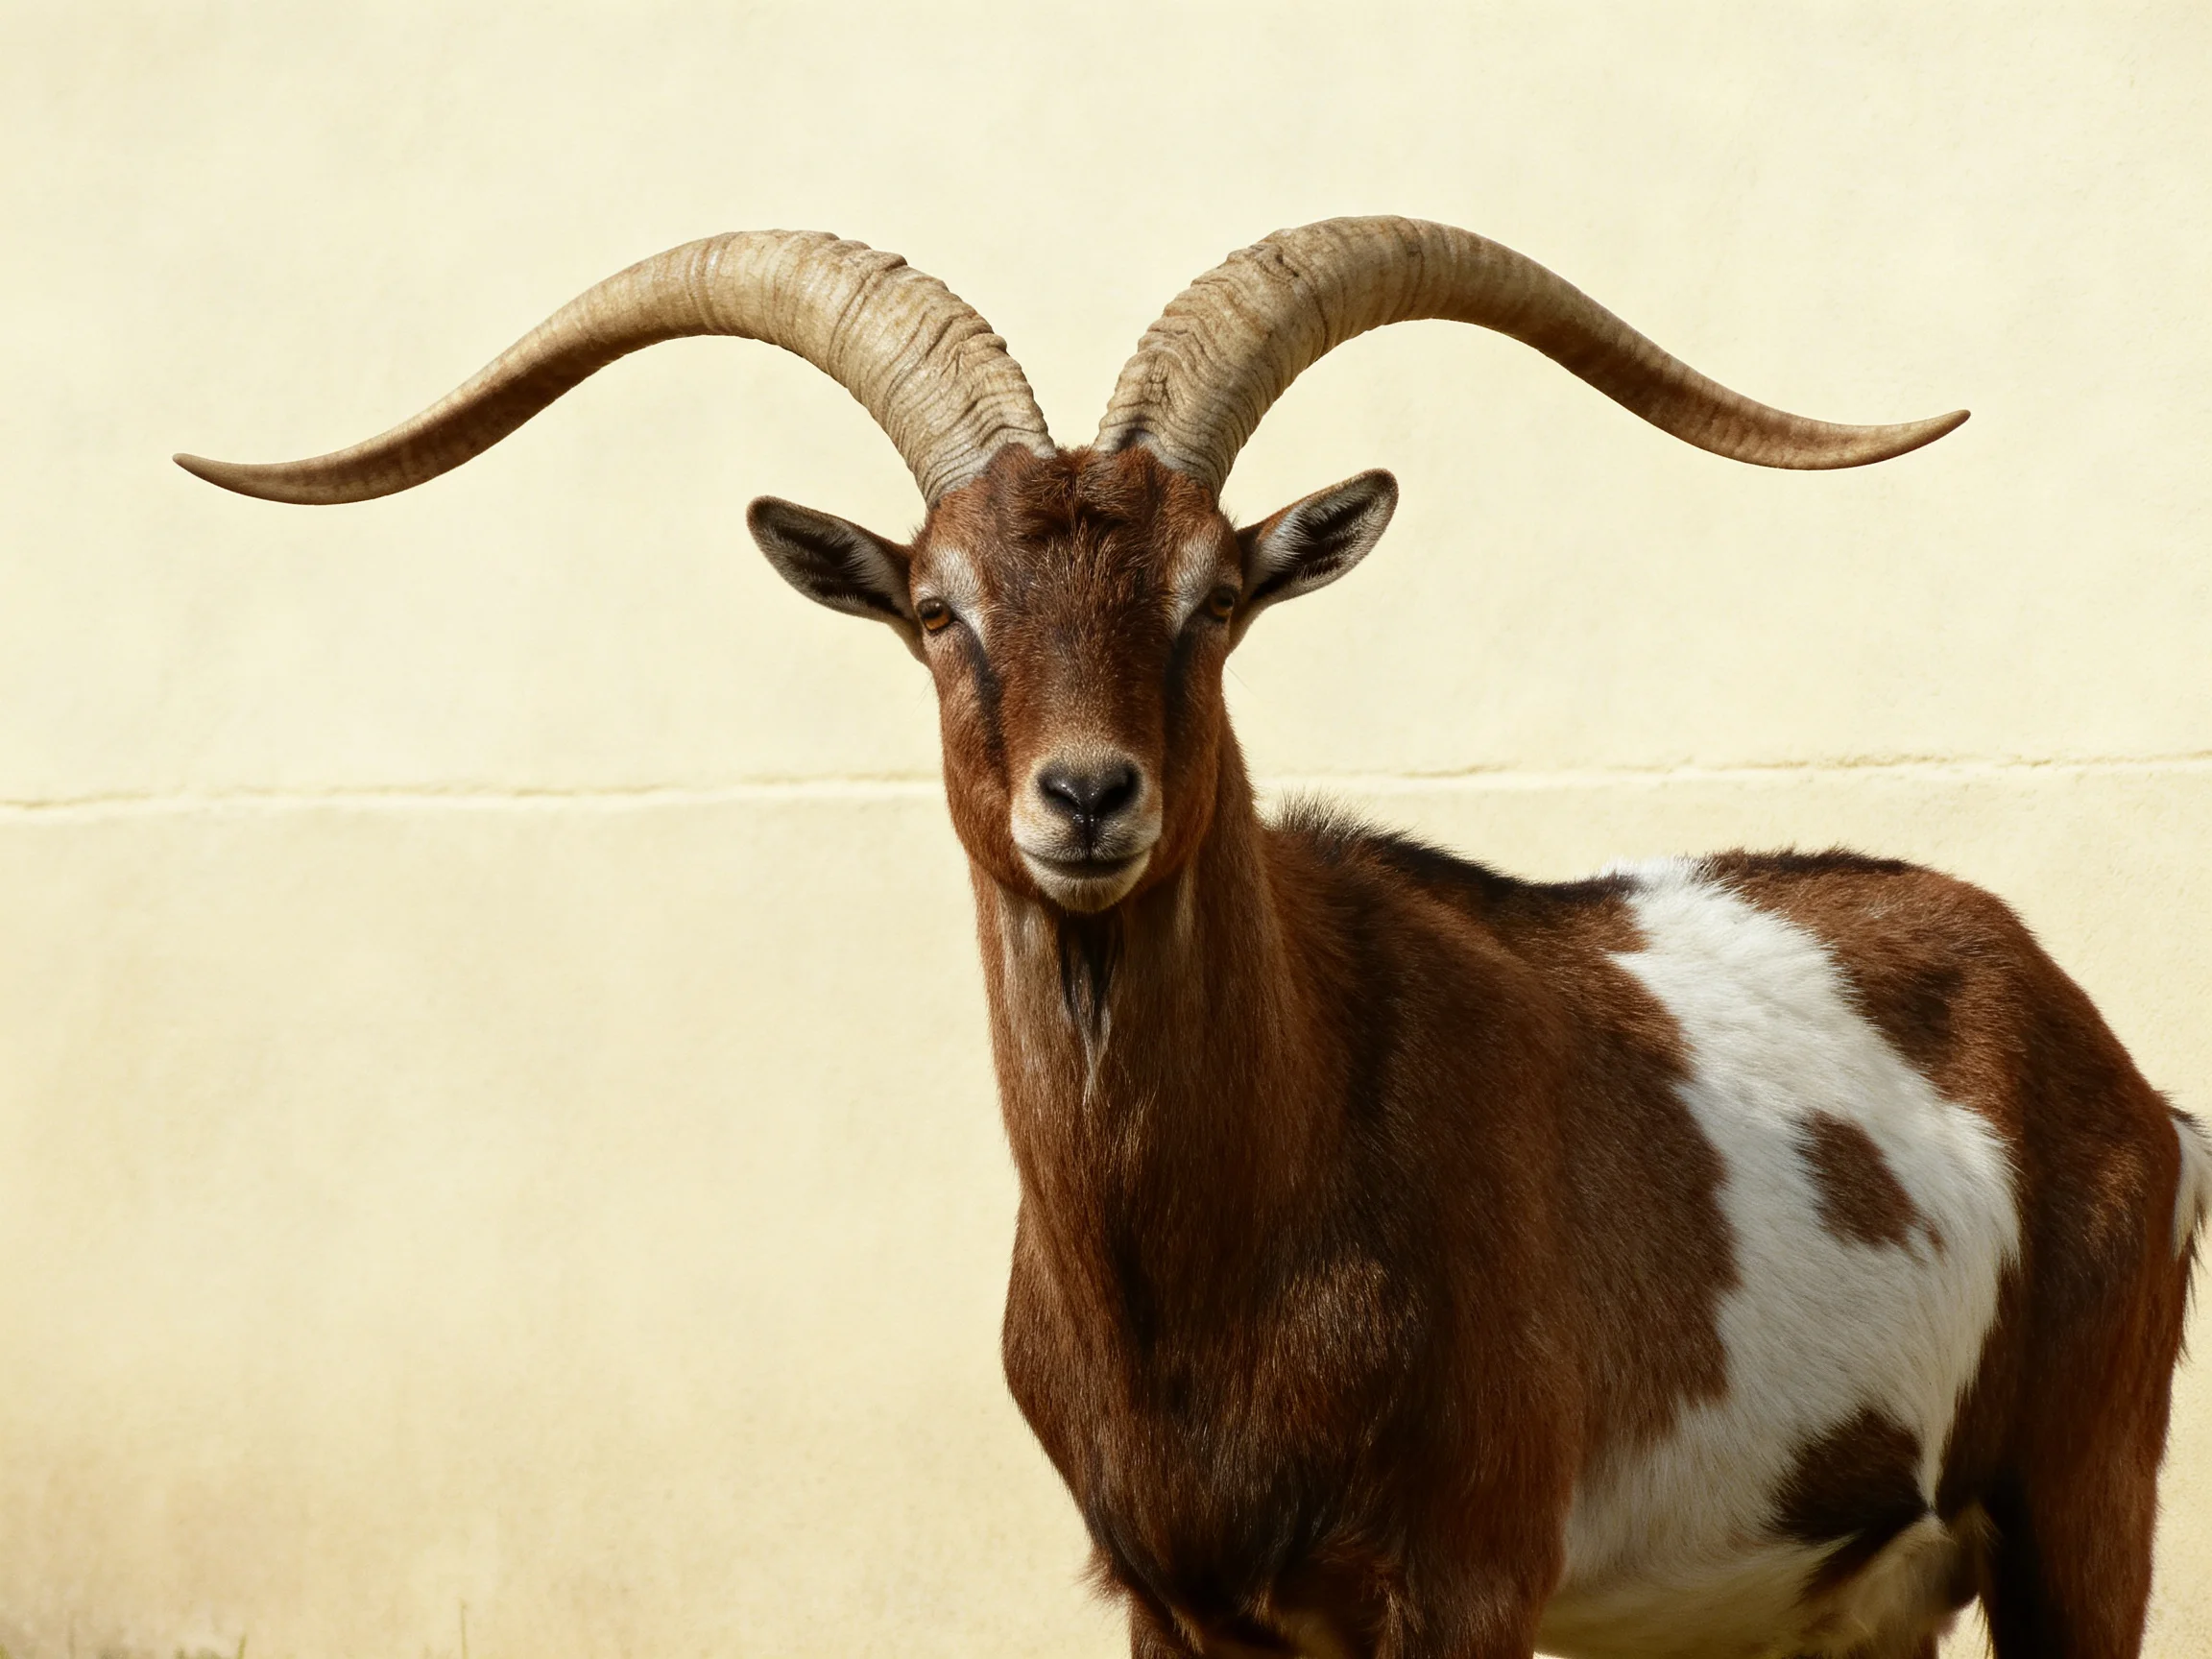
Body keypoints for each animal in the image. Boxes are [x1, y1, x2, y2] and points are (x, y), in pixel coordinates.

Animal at [180, 218, 2211, 1659]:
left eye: (1214, 594)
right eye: (937, 605)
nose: (1086, 800)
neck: (1227, 1239)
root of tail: (2112, 1075)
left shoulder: (1462, 1579)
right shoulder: (1177, 1597)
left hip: (2077, 1496)